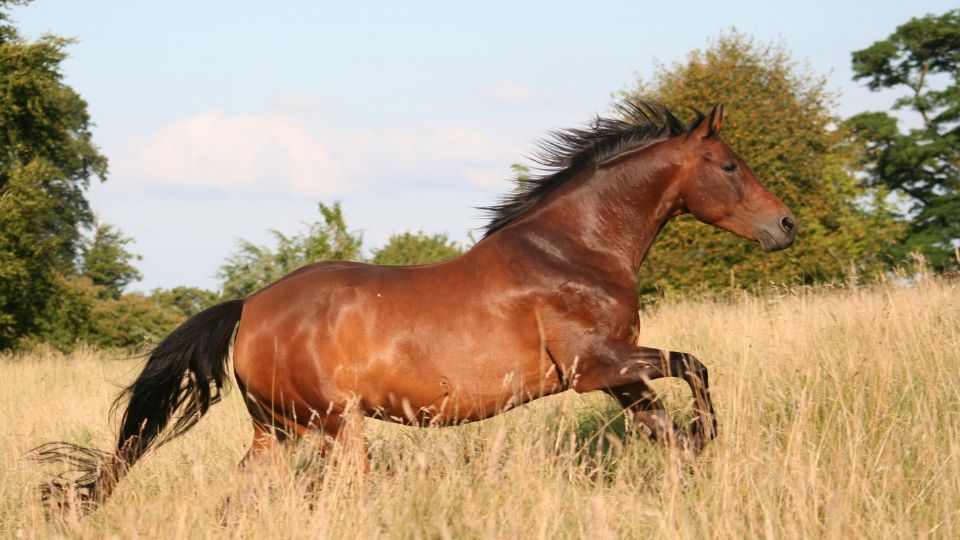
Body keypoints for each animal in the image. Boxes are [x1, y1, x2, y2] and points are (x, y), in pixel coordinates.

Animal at [35, 100, 796, 510]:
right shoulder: (597, 367)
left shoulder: (619, 376)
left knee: (239, 500)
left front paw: (694, 461)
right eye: (730, 166)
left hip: (277, 434)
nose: (786, 225)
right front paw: (707, 438)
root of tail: (249, 309)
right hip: (338, 429)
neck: (574, 249)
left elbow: (665, 422)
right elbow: (694, 366)